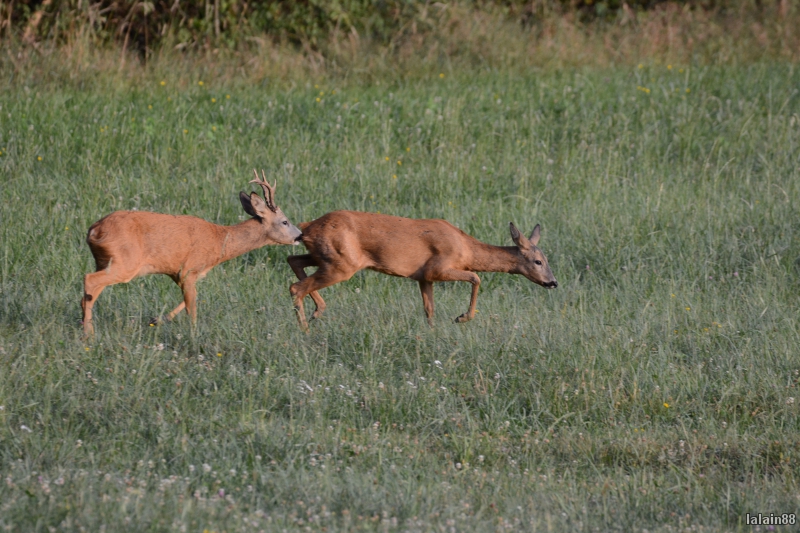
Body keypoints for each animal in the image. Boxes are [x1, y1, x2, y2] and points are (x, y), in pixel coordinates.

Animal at [81, 170, 302, 334]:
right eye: (285, 221)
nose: (300, 236)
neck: (219, 241)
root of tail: (94, 230)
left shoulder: (182, 273)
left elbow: (186, 300)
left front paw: (158, 319)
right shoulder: (190, 268)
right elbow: (192, 308)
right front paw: (194, 335)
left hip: (105, 261)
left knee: (91, 292)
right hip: (125, 263)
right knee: (89, 279)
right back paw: (88, 334)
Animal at [288, 211, 556, 328]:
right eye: (538, 261)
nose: (553, 282)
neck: (466, 248)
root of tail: (307, 226)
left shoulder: (423, 277)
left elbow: (429, 309)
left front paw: (432, 333)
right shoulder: (437, 268)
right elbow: (476, 277)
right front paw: (462, 317)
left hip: (326, 257)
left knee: (293, 260)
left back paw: (317, 311)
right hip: (342, 264)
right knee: (295, 287)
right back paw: (305, 329)